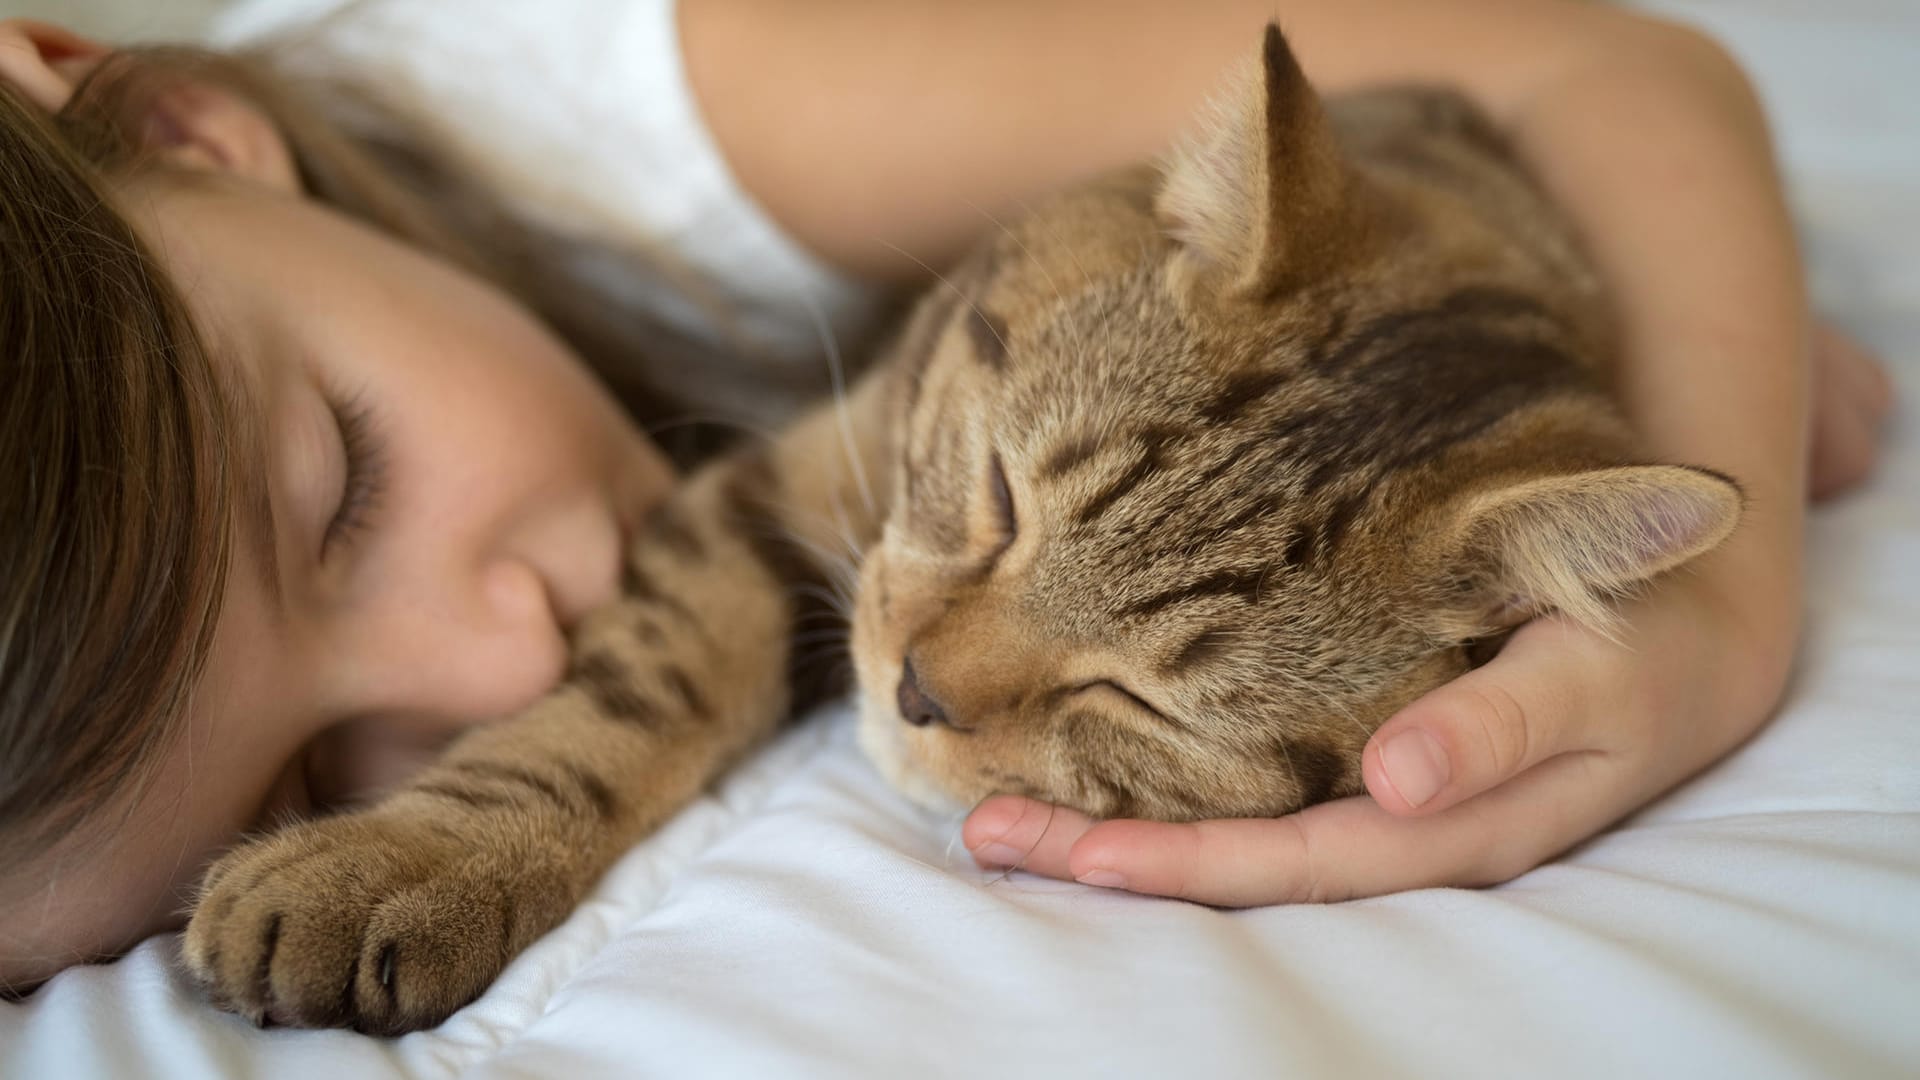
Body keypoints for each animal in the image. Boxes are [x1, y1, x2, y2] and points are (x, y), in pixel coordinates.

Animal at [180, 29, 1743, 1030]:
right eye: (1000, 495)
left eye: (1143, 703)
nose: (916, 689)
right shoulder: (786, 480)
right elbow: (633, 695)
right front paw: (411, 862)